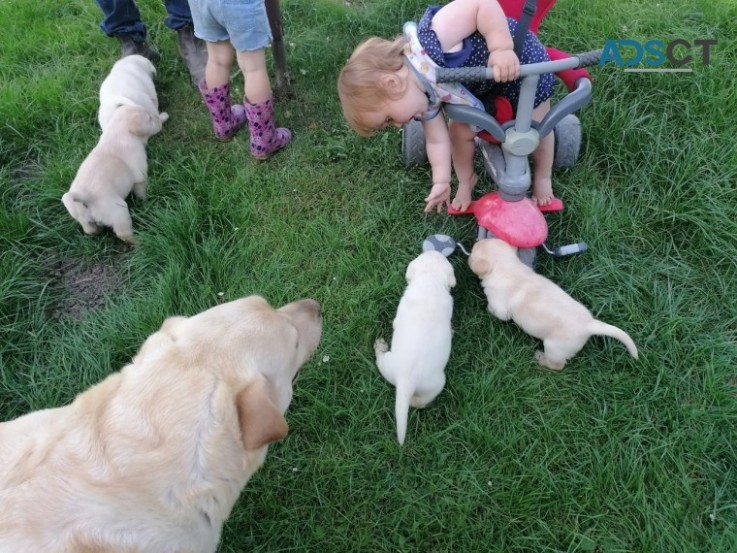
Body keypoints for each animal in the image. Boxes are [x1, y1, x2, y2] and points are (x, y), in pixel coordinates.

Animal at [62, 103, 162, 244]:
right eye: (149, 118)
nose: (158, 118)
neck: (118, 131)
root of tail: (83, 196)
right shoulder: (140, 175)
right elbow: (141, 190)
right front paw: (145, 199)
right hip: (119, 211)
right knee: (123, 233)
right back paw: (138, 241)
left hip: (84, 220)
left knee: (90, 230)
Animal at [472, 238, 640, 370]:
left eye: (474, 250)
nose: (476, 241)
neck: (507, 266)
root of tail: (589, 324)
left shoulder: (500, 306)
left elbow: (496, 311)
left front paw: (487, 309)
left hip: (554, 347)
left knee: (558, 365)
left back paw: (541, 359)